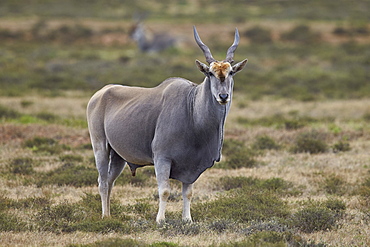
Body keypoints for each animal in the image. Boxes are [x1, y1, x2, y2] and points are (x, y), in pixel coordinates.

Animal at [87, 26, 249, 223]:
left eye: (230, 72)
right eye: (210, 73)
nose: (223, 96)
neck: (191, 108)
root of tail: (101, 93)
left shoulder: (191, 166)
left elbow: (188, 193)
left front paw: (187, 219)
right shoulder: (162, 159)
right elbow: (164, 191)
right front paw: (160, 220)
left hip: (118, 157)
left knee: (110, 181)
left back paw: (110, 215)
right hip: (101, 147)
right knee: (102, 182)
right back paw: (104, 216)